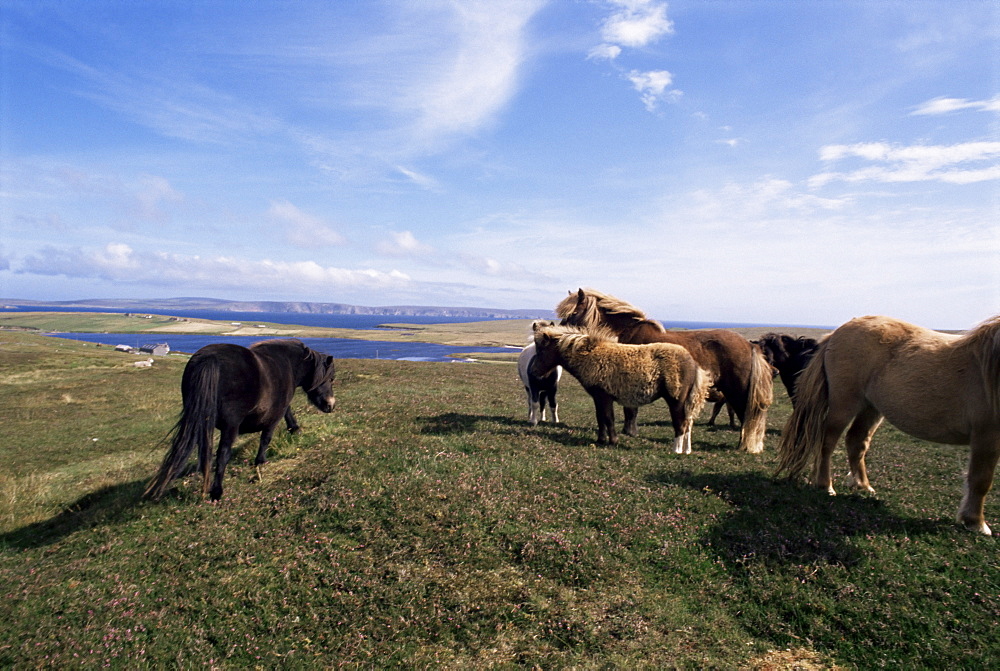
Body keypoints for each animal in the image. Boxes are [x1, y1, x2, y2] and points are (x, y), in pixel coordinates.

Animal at [145, 338, 338, 502]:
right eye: (330, 378)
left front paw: (294, 428)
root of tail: (209, 359)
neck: (288, 363)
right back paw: (216, 492)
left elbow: (287, 413)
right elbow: (266, 437)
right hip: (231, 426)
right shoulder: (273, 415)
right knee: (223, 454)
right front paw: (261, 462)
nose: (330, 405)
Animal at [532, 322, 712, 454]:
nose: (535, 372)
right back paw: (687, 450)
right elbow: (600, 418)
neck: (590, 356)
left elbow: (608, 418)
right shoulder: (597, 397)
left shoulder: (604, 396)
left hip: (675, 400)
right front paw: (600, 440)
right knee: (688, 423)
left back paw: (676, 450)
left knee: (680, 423)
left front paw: (613, 441)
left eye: (541, 350)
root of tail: (693, 362)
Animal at [556, 288, 772, 452]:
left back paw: (744, 445)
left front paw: (630, 432)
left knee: (746, 416)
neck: (628, 332)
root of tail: (749, 345)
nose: (558, 332)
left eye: (573, 313)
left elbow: (630, 409)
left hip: (737, 390)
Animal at [776, 314, 1000, 536]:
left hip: (871, 407)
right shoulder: (986, 437)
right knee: (828, 442)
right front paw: (976, 523)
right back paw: (825, 486)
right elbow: (981, 480)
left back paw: (863, 485)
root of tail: (836, 333)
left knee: (856, 441)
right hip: (844, 404)